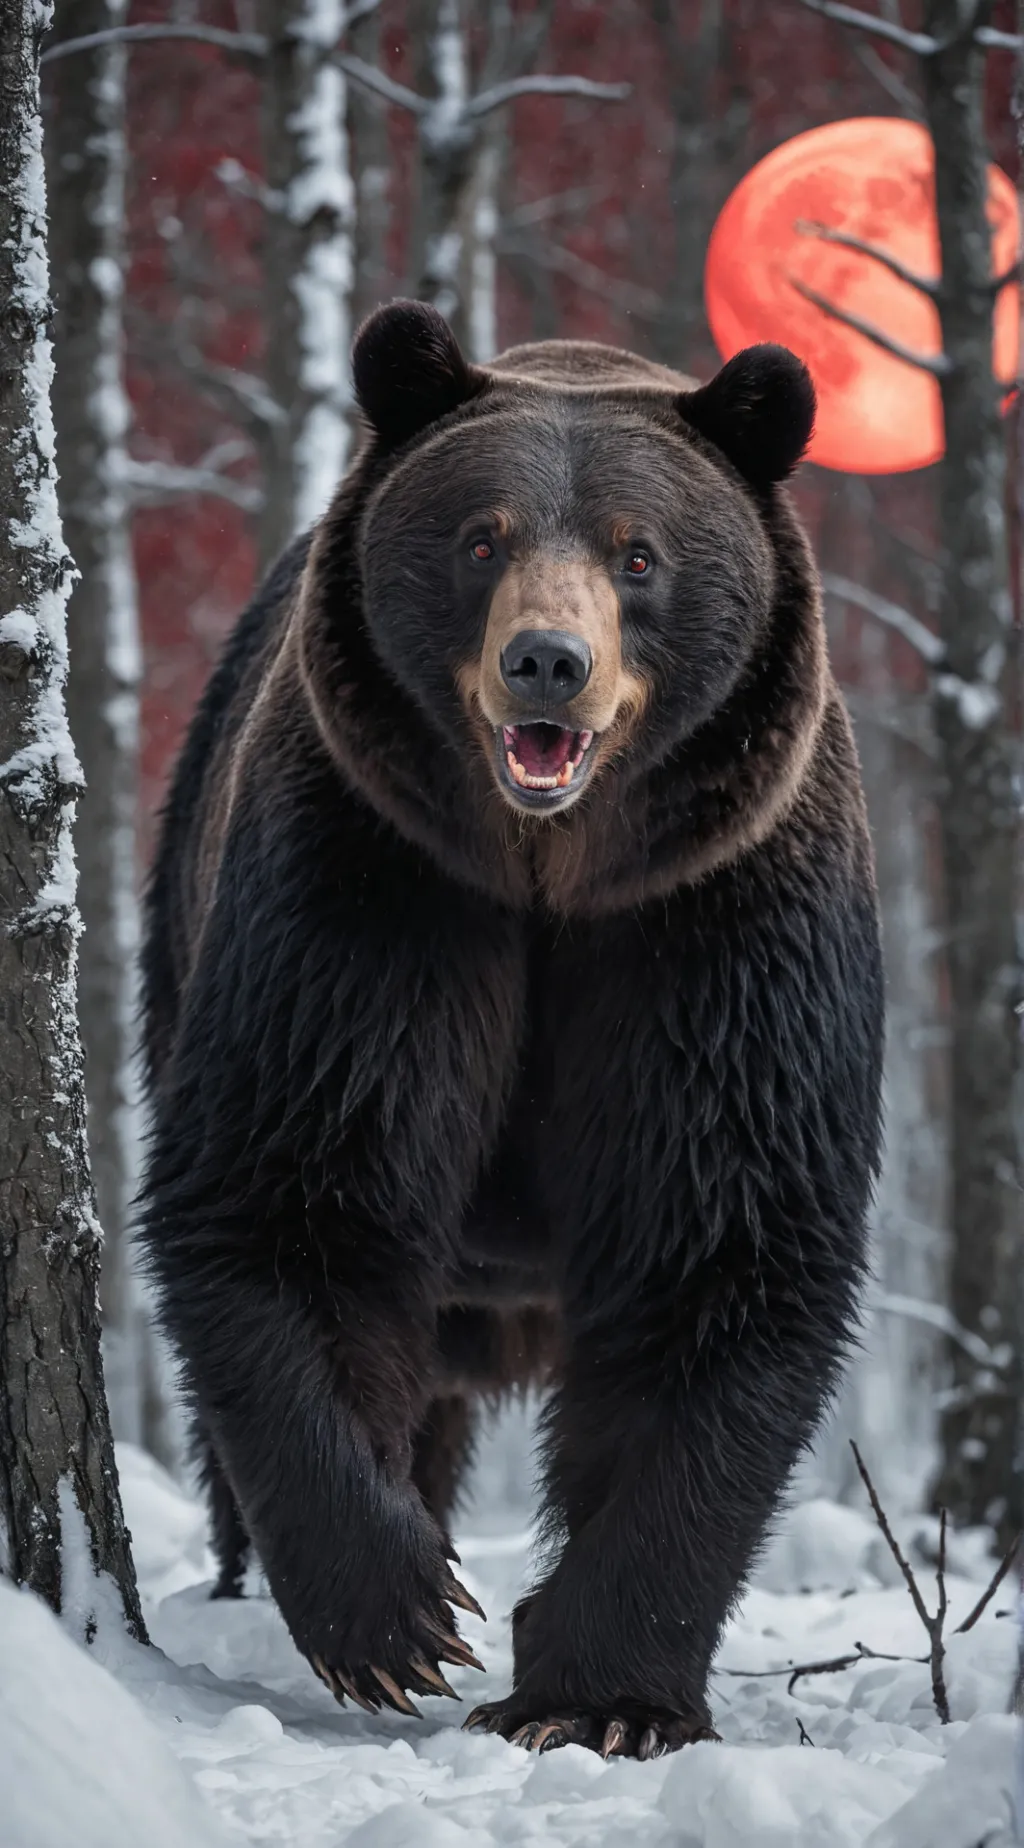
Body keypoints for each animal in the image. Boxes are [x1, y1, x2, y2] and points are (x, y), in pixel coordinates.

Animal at [138, 300, 884, 1760]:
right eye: (480, 537)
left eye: (638, 553)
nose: (549, 660)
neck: (551, 875)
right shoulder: (373, 888)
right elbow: (292, 1191)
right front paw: (400, 1618)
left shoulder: (712, 930)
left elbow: (720, 1247)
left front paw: (602, 1695)